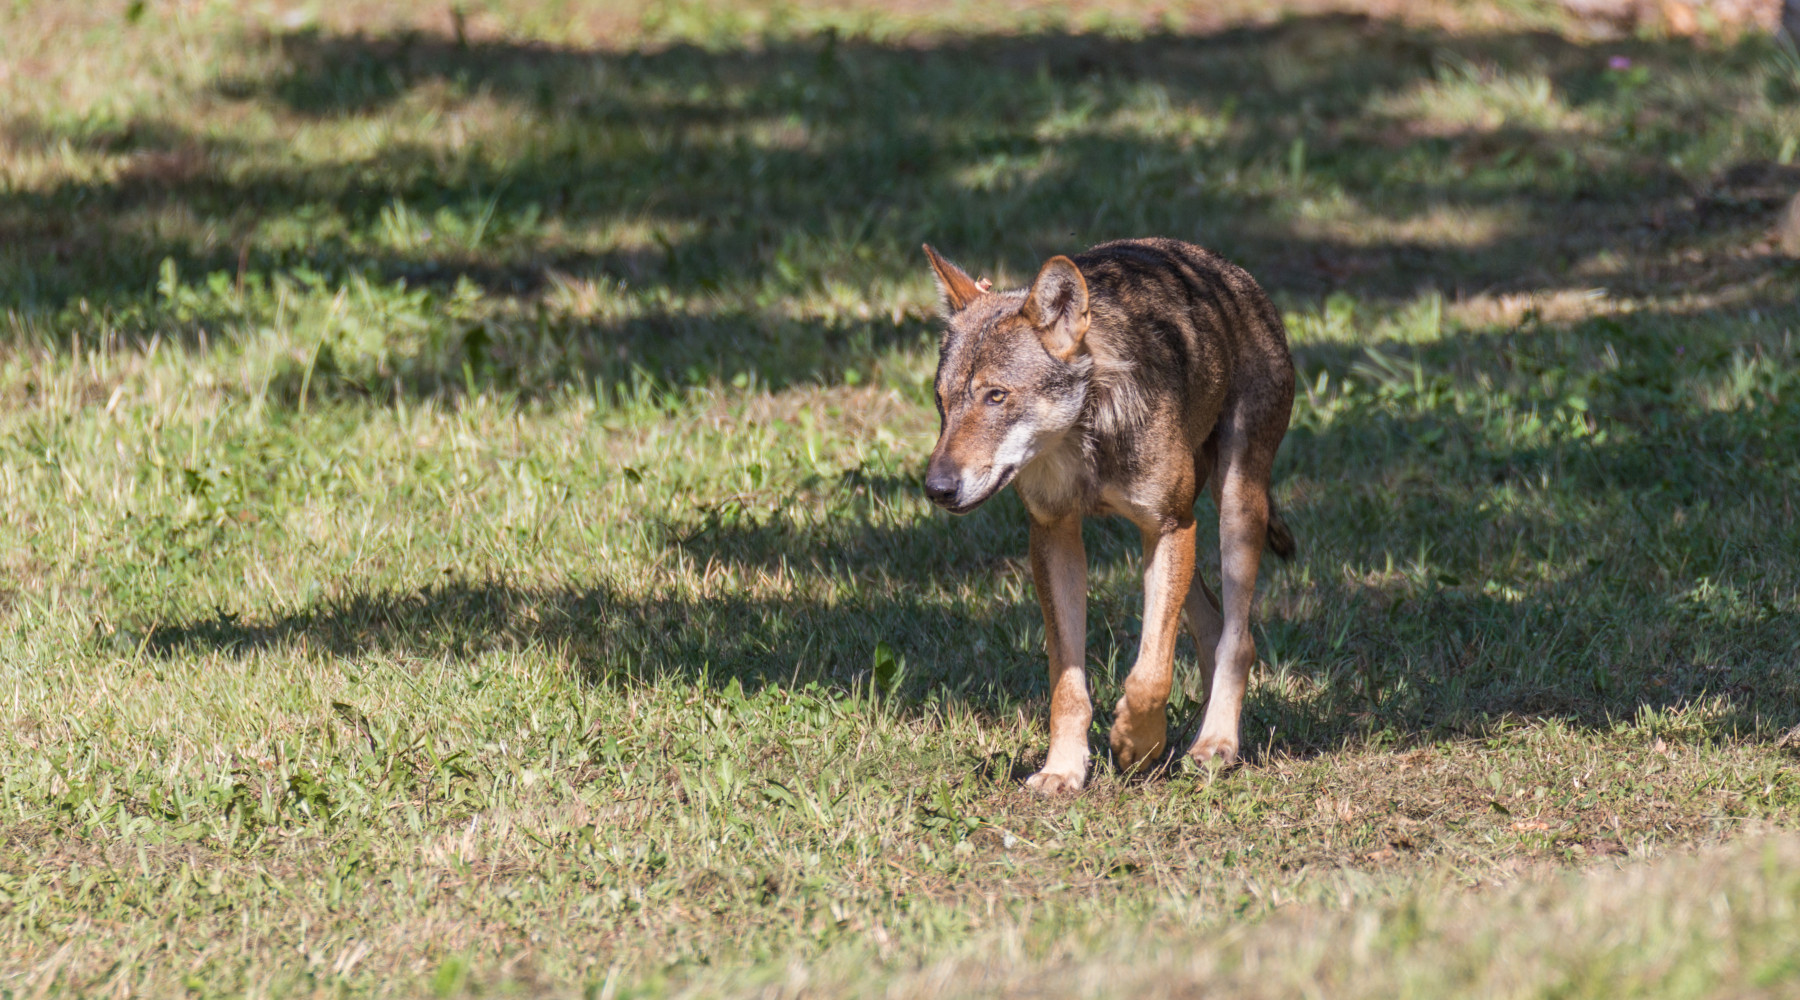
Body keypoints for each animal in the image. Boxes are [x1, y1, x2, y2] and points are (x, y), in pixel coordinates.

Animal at [921, 238, 1295, 794]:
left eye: (996, 396)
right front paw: (1063, 769)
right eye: (941, 402)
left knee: (1239, 638)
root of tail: (1228, 270)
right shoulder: (1053, 536)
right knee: (1210, 625)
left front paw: (1136, 745)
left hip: (1233, 512)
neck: (1087, 437)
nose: (937, 488)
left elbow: (1149, 675)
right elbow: (1067, 684)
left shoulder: (1169, 526)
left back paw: (1216, 743)